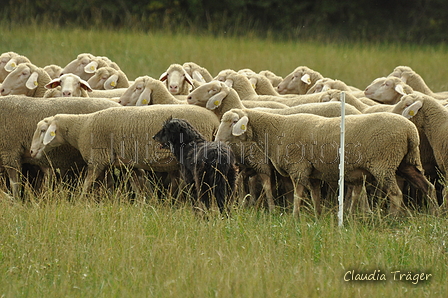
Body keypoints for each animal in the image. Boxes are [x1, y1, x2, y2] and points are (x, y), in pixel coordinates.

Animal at [28, 104, 221, 193]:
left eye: (43, 130)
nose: (31, 152)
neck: (81, 126)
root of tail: (215, 122)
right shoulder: (130, 164)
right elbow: (139, 188)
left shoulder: (97, 159)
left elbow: (86, 185)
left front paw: (79, 201)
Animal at [217, 108, 438, 215]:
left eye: (233, 122)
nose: (217, 140)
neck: (275, 129)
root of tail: (410, 131)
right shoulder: (314, 173)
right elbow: (315, 197)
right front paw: (317, 216)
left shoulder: (298, 168)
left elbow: (297, 195)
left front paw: (294, 217)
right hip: (406, 163)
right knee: (427, 186)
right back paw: (434, 213)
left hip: (384, 163)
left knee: (396, 193)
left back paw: (392, 218)